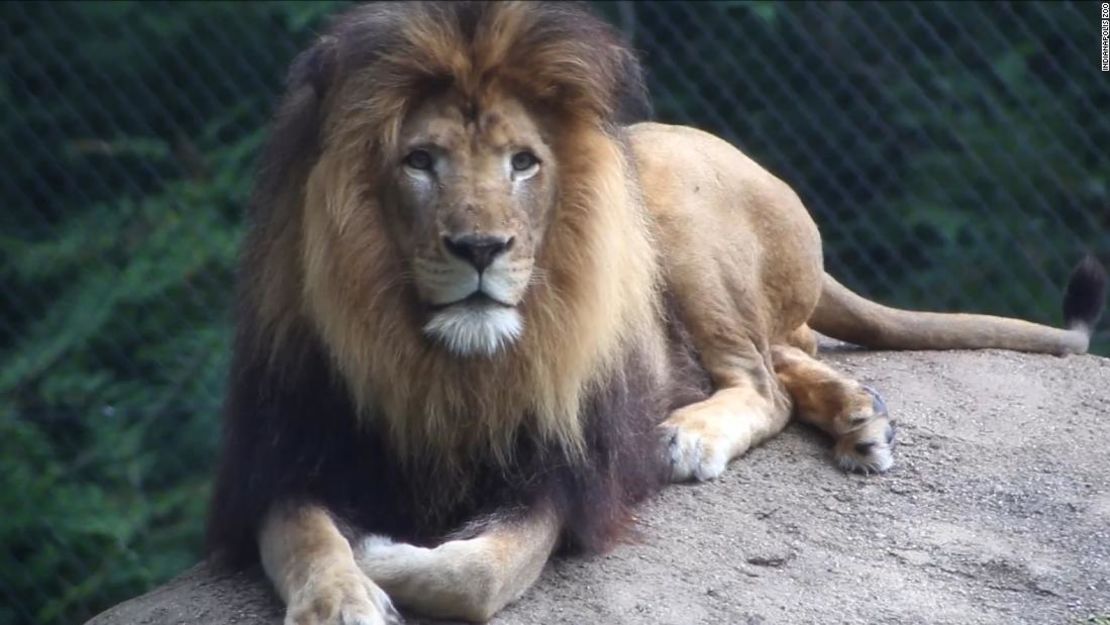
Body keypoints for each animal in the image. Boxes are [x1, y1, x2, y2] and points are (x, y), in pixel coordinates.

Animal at [204, 2, 1105, 621]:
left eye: (523, 163)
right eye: (420, 161)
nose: (481, 247)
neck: (441, 361)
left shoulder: (560, 475)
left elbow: (473, 573)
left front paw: (383, 551)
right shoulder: (291, 452)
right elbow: (309, 537)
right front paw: (342, 595)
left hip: (670, 210)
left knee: (762, 379)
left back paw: (695, 434)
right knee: (792, 353)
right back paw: (860, 416)